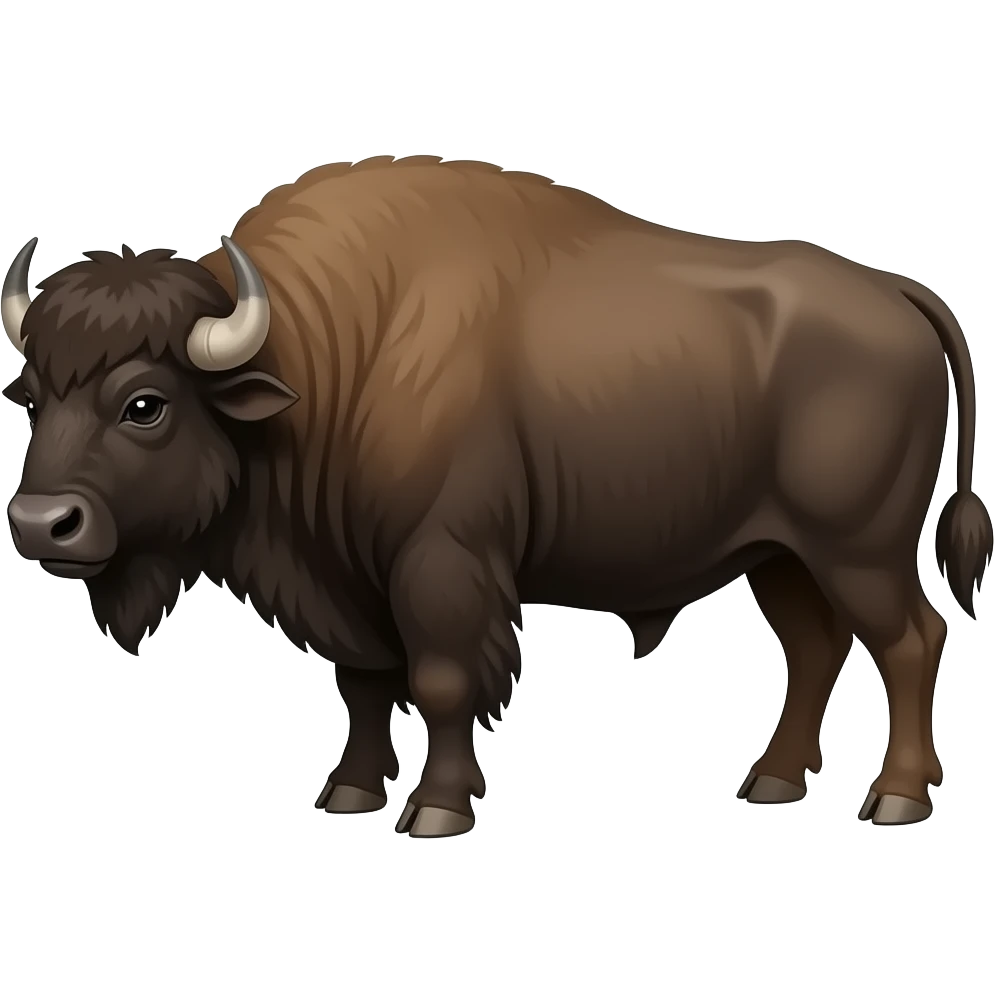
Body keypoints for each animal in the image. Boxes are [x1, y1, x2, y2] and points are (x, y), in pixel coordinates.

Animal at [2, 155, 989, 836]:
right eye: (34, 396)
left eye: (145, 403)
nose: (41, 523)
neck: (323, 358)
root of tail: (896, 291)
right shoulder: (347, 582)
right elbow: (364, 685)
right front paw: (348, 792)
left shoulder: (440, 562)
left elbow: (440, 681)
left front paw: (437, 809)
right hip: (779, 556)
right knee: (816, 647)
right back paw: (772, 784)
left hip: (858, 549)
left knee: (910, 640)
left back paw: (895, 799)